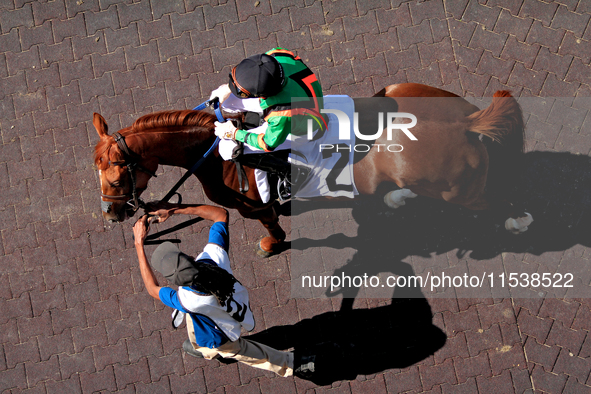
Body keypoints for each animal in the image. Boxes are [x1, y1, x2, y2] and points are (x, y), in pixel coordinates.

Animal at [92, 83, 532, 255]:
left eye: (114, 176)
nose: (111, 213)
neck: (214, 157)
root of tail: (466, 122)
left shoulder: (256, 205)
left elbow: (271, 225)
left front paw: (272, 244)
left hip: (457, 192)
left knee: (494, 202)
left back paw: (518, 220)